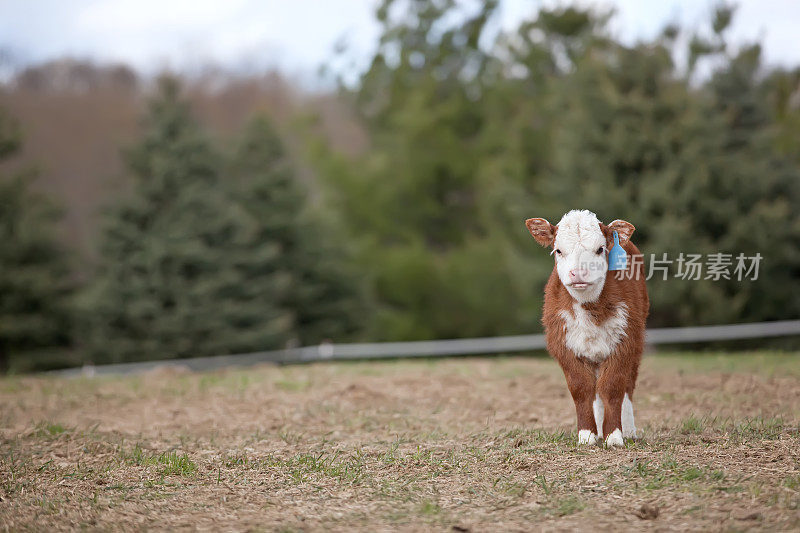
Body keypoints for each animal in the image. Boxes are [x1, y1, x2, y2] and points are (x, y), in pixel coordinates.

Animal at [524, 210, 648, 446]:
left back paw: (628, 429)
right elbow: (582, 388)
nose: (578, 273)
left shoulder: (625, 341)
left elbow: (613, 387)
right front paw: (587, 434)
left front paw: (614, 435)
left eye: (600, 249)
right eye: (559, 250)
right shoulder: (564, 344)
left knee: (627, 386)